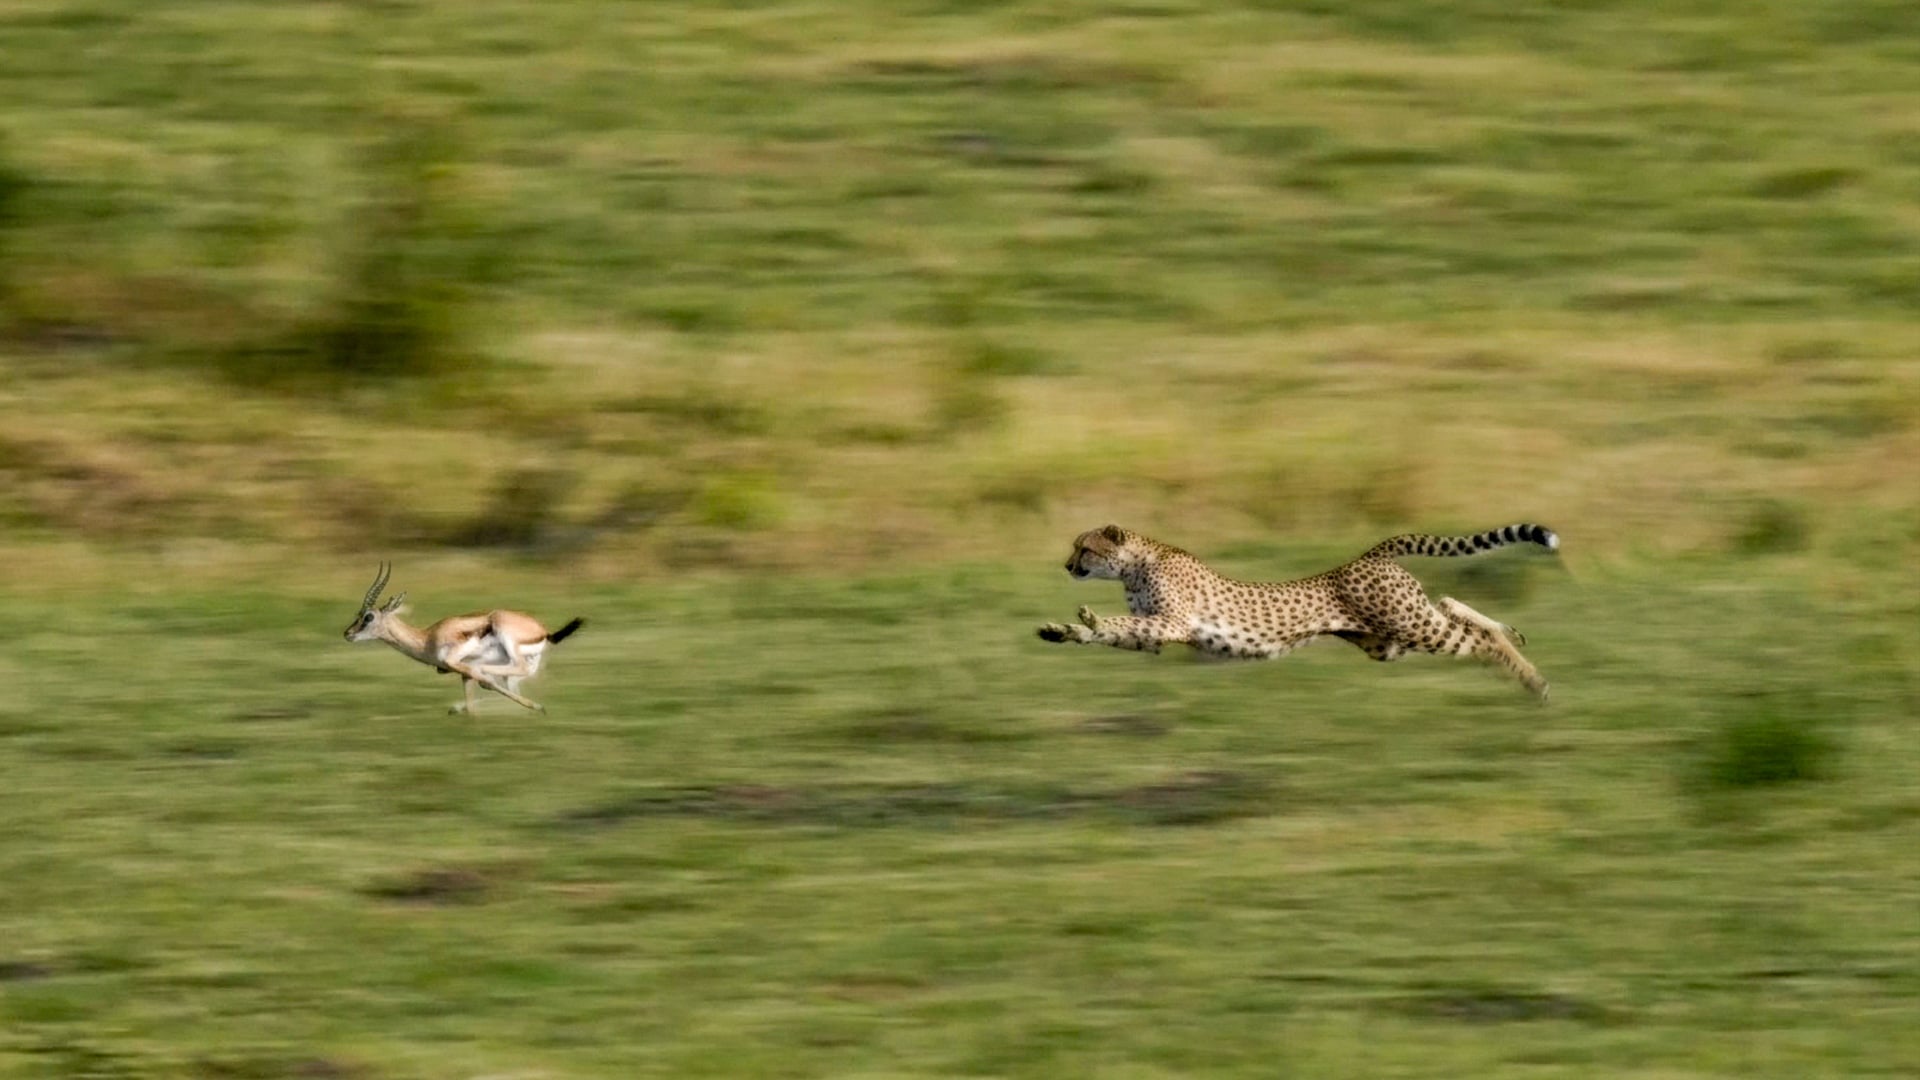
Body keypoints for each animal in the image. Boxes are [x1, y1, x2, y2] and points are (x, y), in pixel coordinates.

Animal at [1035, 523, 1558, 698]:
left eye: (1085, 548)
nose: (1067, 565)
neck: (1138, 563)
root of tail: (1365, 556)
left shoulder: (1174, 623)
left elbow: (1118, 622)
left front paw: (1089, 619)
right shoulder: (1157, 633)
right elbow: (1117, 632)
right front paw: (1064, 630)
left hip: (1410, 626)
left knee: (1479, 640)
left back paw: (1533, 678)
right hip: (1389, 640)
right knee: (1449, 605)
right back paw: (1514, 635)